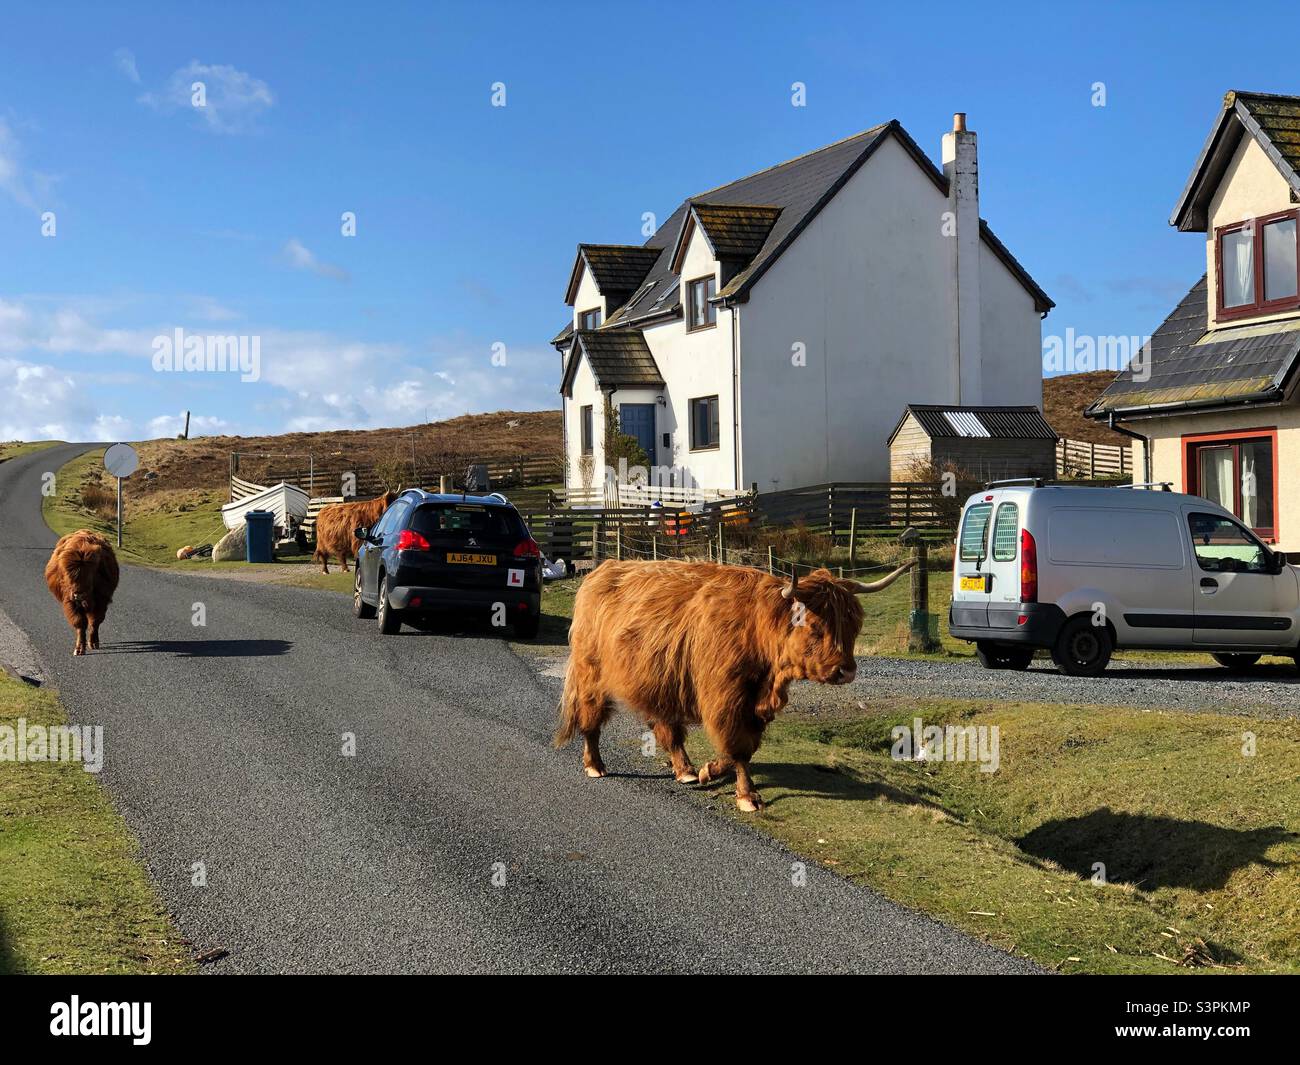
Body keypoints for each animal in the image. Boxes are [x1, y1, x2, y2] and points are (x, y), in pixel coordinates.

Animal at [555, 559, 914, 811]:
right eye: (815, 626)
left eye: (854, 625)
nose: (846, 671)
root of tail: (604, 569)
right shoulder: (727, 698)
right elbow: (737, 747)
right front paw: (746, 795)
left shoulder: (753, 705)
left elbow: (742, 747)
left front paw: (709, 771)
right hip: (590, 675)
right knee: (590, 721)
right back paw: (595, 765)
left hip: (660, 682)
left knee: (667, 727)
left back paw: (685, 769)